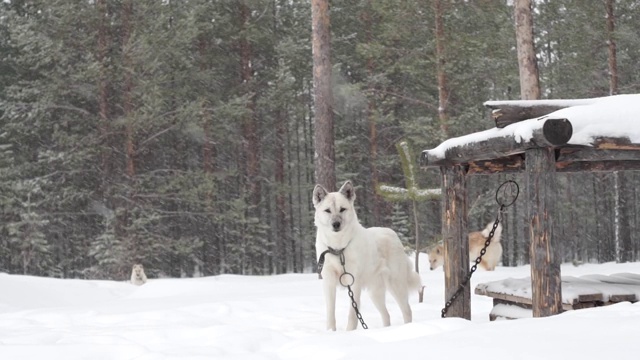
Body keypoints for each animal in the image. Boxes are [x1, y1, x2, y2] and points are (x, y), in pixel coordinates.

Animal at [312, 181, 422, 330]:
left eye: (342, 209)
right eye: (327, 210)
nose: (336, 224)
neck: (338, 249)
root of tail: (392, 233)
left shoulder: (354, 283)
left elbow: (352, 315)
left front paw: (350, 332)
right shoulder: (328, 282)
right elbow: (330, 314)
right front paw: (331, 332)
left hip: (396, 285)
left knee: (407, 311)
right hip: (375, 292)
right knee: (386, 315)